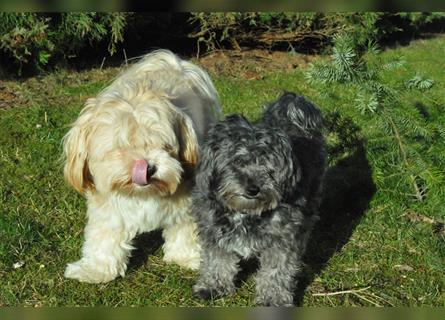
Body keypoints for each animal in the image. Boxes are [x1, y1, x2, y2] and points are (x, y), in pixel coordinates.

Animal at [61, 49, 221, 282]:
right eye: (121, 147)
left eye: (164, 146)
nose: (148, 167)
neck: (141, 194)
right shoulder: (106, 206)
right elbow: (104, 236)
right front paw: (96, 269)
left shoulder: (187, 201)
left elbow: (185, 228)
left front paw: (187, 258)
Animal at [191, 92, 326, 304]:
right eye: (237, 161)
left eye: (269, 166)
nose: (253, 189)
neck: (245, 212)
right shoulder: (213, 231)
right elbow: (217, 261)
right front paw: (213, 286)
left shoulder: (282, 239)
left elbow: (276, 272)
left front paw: (273, 299)